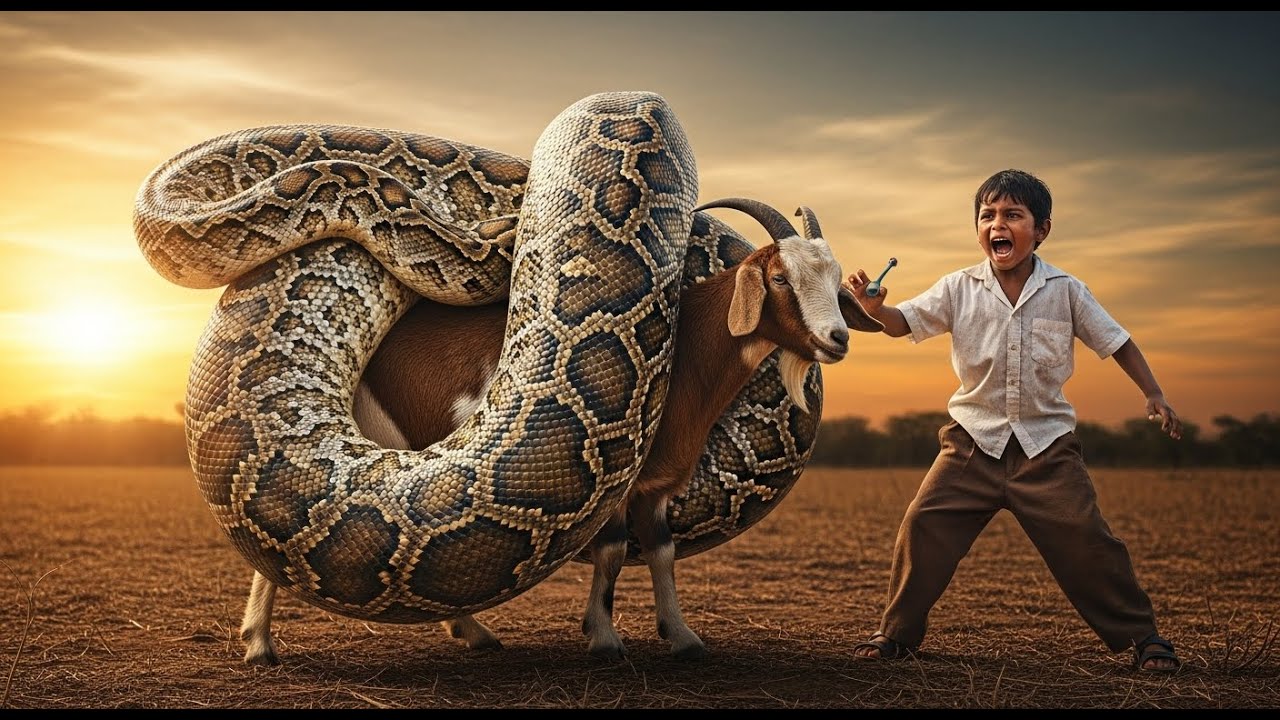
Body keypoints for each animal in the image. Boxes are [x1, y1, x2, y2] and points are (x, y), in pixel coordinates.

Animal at [237, 200, 883, 664]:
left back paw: (472, 631)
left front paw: (681, 636)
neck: (687, 351)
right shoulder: (617, 481)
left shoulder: (657, 485)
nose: (837, 339)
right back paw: (259, 644)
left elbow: (662, 552)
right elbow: (614, 551)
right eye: (779, 277)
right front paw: (603, 637)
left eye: (835, 278)